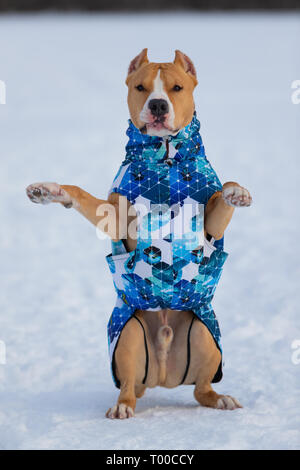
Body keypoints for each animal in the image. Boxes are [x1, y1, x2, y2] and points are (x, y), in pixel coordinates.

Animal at [25, 50, 252, 418]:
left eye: (176, 87)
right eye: (140, 87)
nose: (158, 105)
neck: (164, 163)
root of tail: (162, 376)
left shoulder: (211, 226)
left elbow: (223, 196)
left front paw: (237, 192)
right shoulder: (116, 219)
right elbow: (81, 194)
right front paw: (49, 190)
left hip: (205, 336)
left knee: (201, 388)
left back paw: (221, 398)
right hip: (129, 335)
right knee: (129, 387)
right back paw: (122, 407)